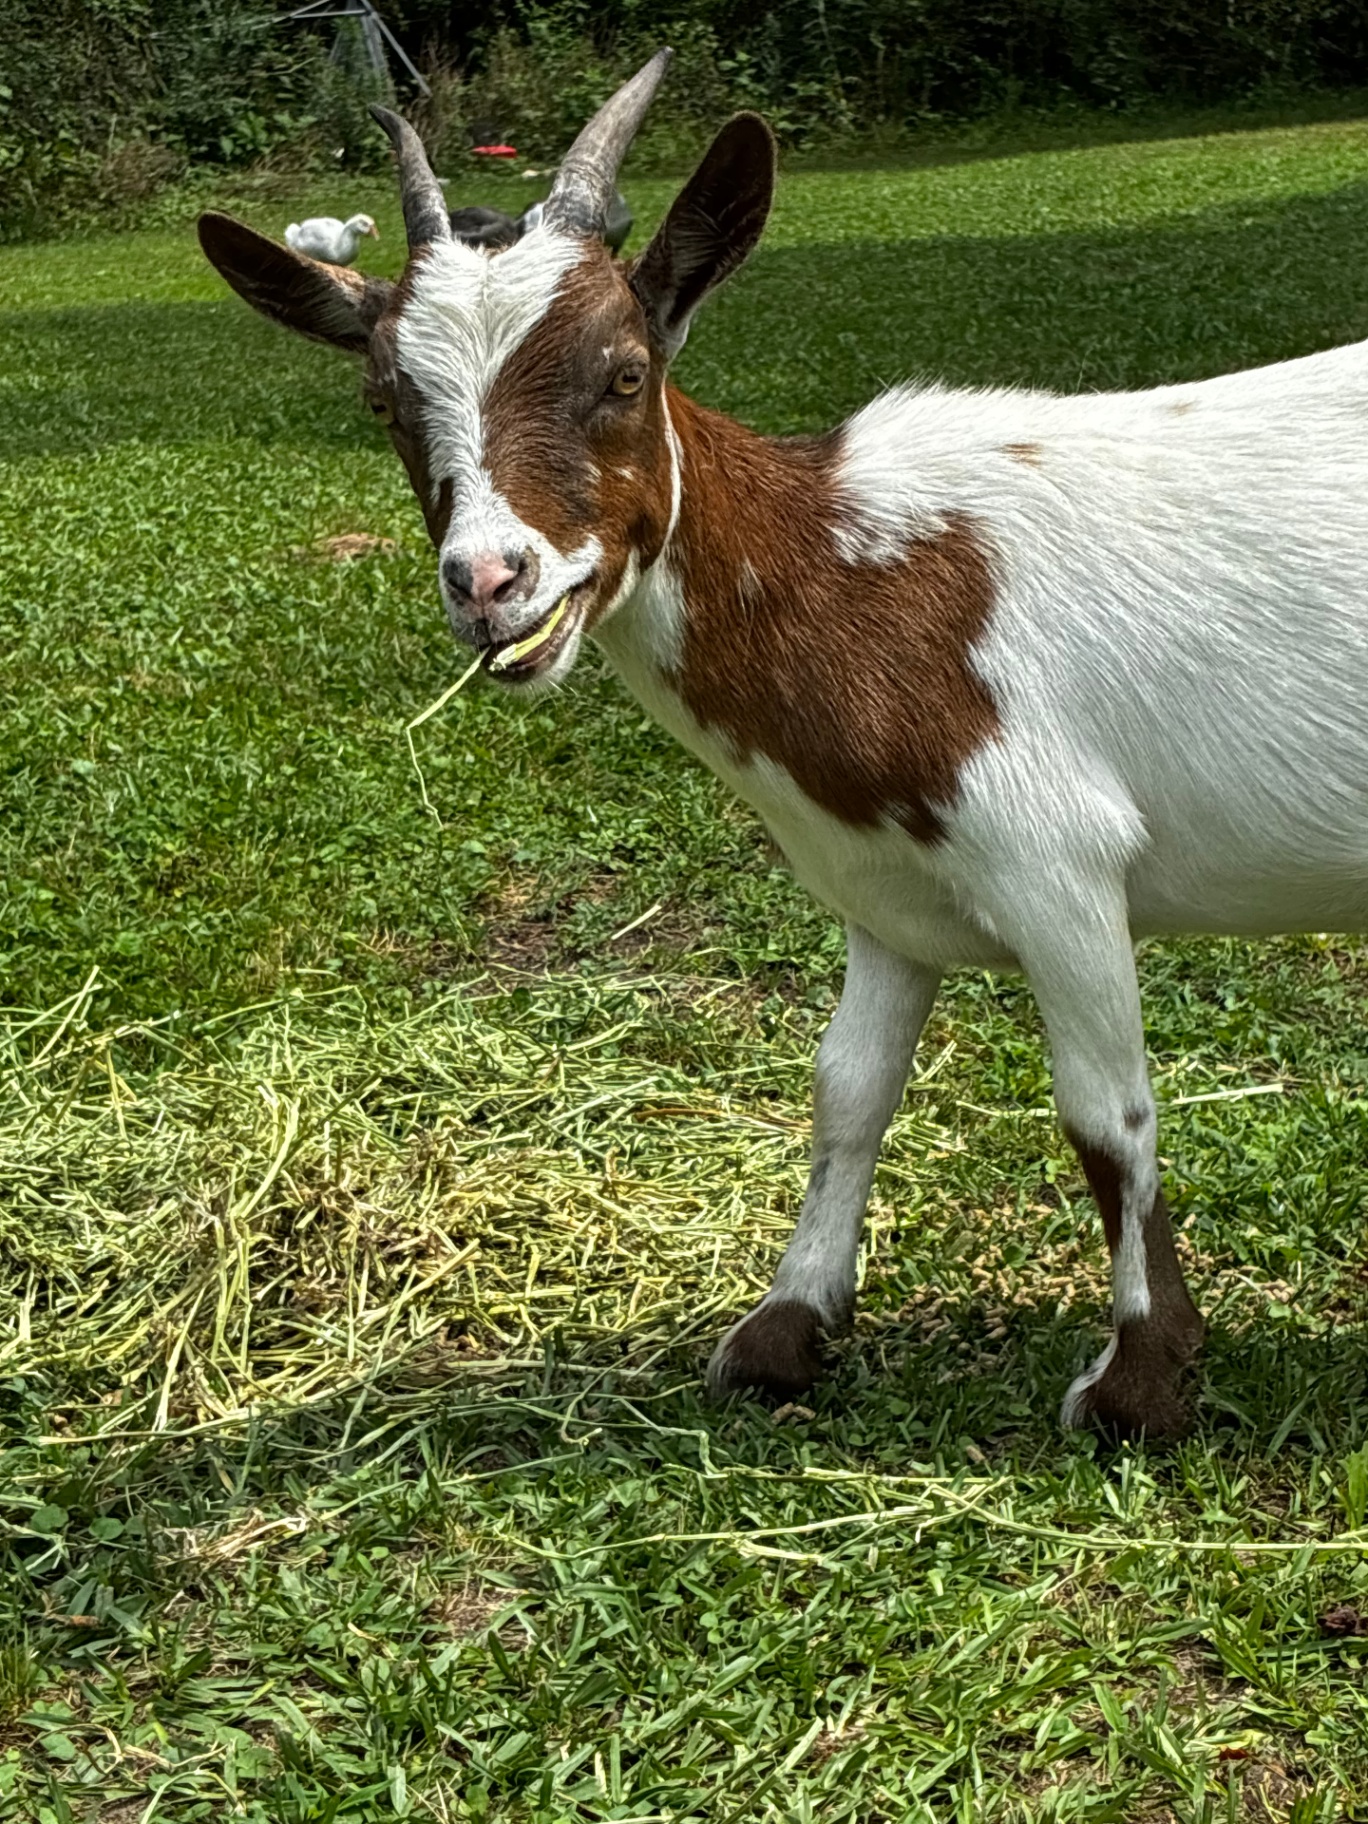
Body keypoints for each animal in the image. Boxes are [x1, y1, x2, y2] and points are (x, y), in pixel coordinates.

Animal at [198, 50, 1368, 1436]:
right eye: (385, 398)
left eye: (624, 373)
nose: (490, 583)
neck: (846, 569)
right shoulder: (884, 887)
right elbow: (847, 1092)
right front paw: (786, 1330)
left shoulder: (1058, 862)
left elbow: (1105, 1115)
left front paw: (1141, 1377)